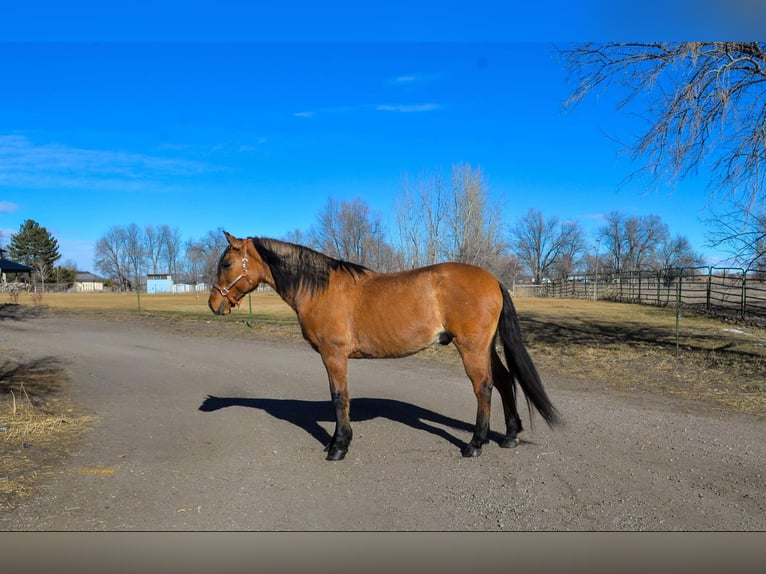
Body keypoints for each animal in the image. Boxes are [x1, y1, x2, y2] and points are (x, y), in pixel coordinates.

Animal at [207, 232, 560, 462]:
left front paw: (338, 446)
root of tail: (492, 280)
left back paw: (475, 444)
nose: (213, 304)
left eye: (226, 263)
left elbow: (339, 397)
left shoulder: (334, 355)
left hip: (472, 348)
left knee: (484, 387)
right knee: (503, 381)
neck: (322, 288)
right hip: (485, 347)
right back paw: (510, 436)